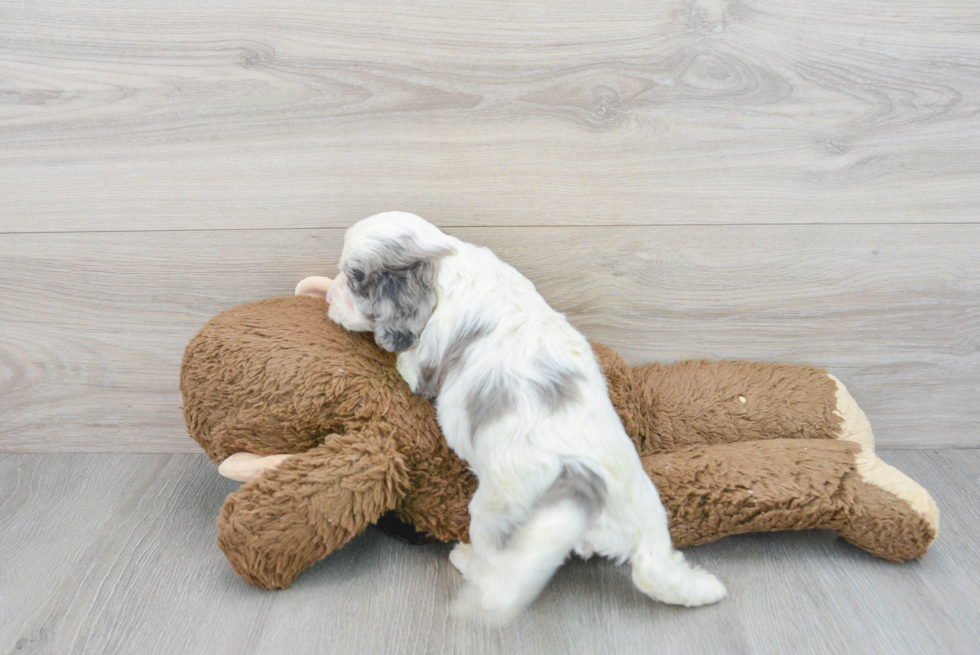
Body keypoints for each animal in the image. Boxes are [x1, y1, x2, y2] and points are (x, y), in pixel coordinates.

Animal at [326, 213, 724, 624]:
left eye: (354, 280)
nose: (328, 293)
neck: (447, 260)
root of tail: (585, 483)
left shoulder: (422, 361)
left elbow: (406, 364)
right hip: (646, 510)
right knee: (657, 568)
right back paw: (702, 588)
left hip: (495, 514)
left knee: (498, 581)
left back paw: (466, 561)